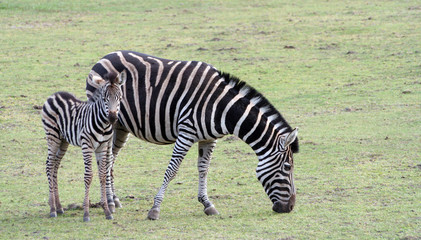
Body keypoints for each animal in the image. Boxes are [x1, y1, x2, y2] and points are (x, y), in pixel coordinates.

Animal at [41, 70, 126, 222]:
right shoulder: (87, 145)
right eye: (104, 98)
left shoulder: (102, 147)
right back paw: (52, 209)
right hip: (52, 136)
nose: (112, 118)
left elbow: (102, 175)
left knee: (55, 165)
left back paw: (59, 207)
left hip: (63, 140)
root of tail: (54, 94)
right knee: (49, 166)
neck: (103, 125)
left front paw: (107, 211)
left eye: (119, 98)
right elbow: (88, 176)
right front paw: (86, 213)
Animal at [85, 50, 296, 219]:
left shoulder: (209, 138)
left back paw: (114, 200)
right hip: (106, 122)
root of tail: (104, 57)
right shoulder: (186, 133)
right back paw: (109, 203)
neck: (221, 107)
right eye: (287, 167)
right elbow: (172, 170)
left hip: (121, 127)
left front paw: (207, 204)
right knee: (104, 159)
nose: (290, 207)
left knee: (111, 159)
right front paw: (155, 209)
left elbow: (204, 169)